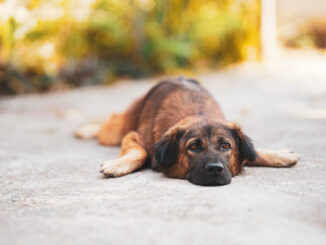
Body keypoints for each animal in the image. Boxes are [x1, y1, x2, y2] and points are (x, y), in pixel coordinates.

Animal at [75, 78, 300, 186]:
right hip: (116, 130)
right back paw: (85, 129)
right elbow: (141, 152)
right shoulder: (134, 136)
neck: (197, 114)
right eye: (193, 147)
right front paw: (117, 165)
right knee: (111, 120)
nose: (215, 170)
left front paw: (279, 155)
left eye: (225, 146)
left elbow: (252, 152)